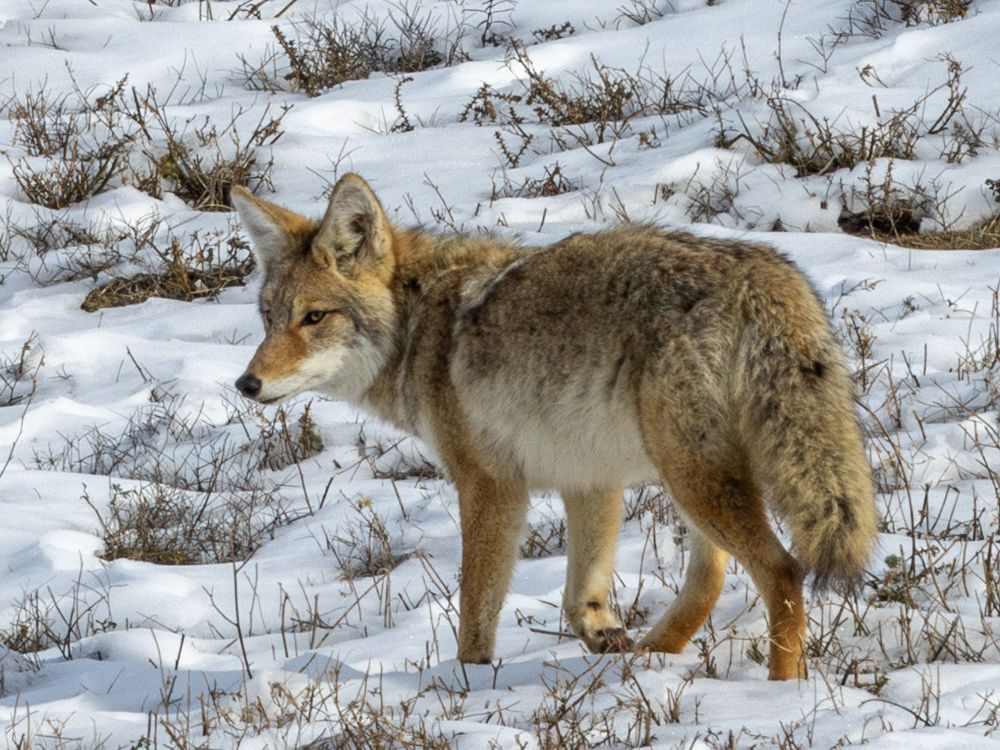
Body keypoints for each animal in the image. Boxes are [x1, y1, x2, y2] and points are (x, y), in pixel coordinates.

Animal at [230, 174, 878, 681]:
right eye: (269, 319)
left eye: (314, 318)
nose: (246, 384)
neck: (421, 326)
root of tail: (765, 274)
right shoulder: (590, 478)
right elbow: (578, 595)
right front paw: (602, 635)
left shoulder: (491, 487)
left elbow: (476, 614)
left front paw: (467, 689)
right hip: (693, 477)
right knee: (711, 578)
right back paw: (648, 658)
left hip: (690, 476)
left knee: (783, 572)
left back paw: (780, 692)